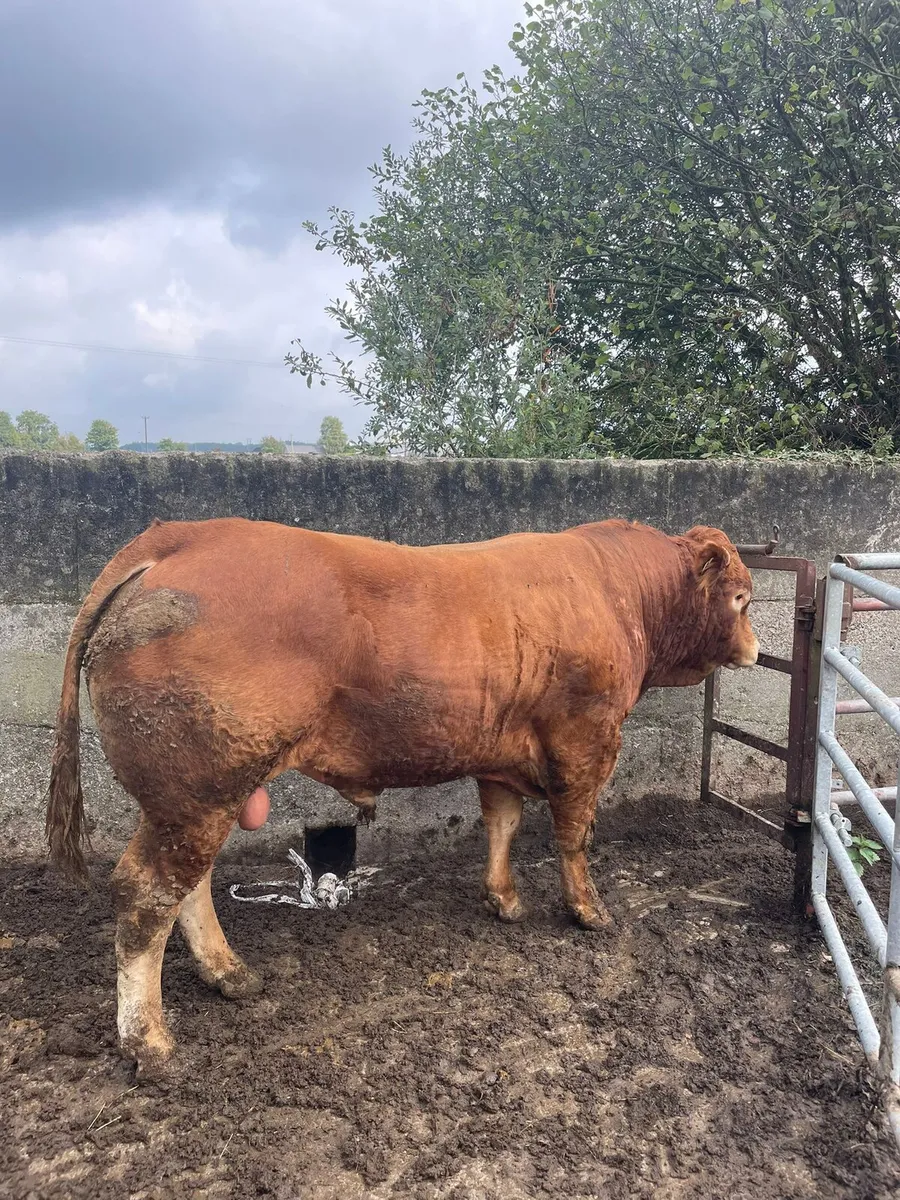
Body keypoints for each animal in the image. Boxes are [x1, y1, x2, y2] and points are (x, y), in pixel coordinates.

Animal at [45, 516, 758, 1076]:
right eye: (743, 598)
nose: (755, 650)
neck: (617, 591)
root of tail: (179, 537)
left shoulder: (502, 753)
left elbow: (501, 824)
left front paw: (504, 899)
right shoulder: (588, 740)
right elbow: (574, 834)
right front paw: (589, 912)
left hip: (198, 797)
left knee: (187, 886)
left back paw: (230, 974)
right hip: (197, 789)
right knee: (146, 894)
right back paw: (150, 1041)